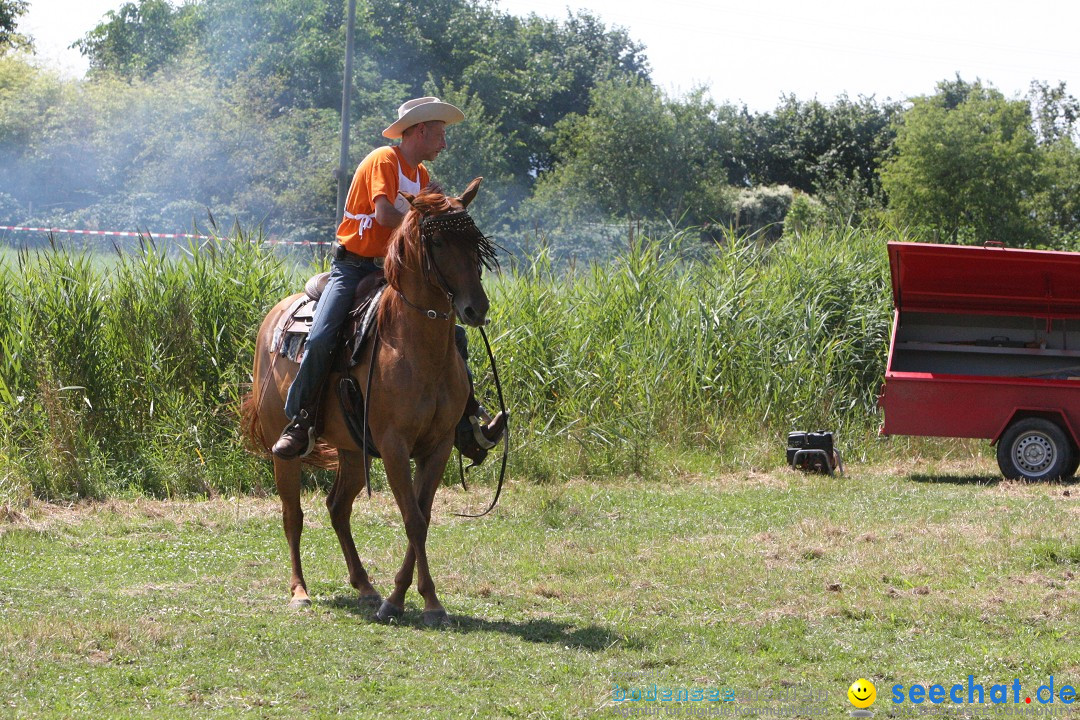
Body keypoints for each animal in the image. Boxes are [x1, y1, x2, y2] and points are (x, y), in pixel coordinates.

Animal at [243, 175, 494, 626]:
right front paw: (407, 601)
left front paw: (417, 599)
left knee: (338, 507)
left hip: (352, 450)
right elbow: (412, 518)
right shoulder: (394, 445)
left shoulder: (438, 445)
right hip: (281, 449)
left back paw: (364, 585)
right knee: (293, 515)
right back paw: (300, 591)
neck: (412, 344)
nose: (475, 308)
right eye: (438, 242)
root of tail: (274, 317)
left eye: (475, 241)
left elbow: (423, 517)